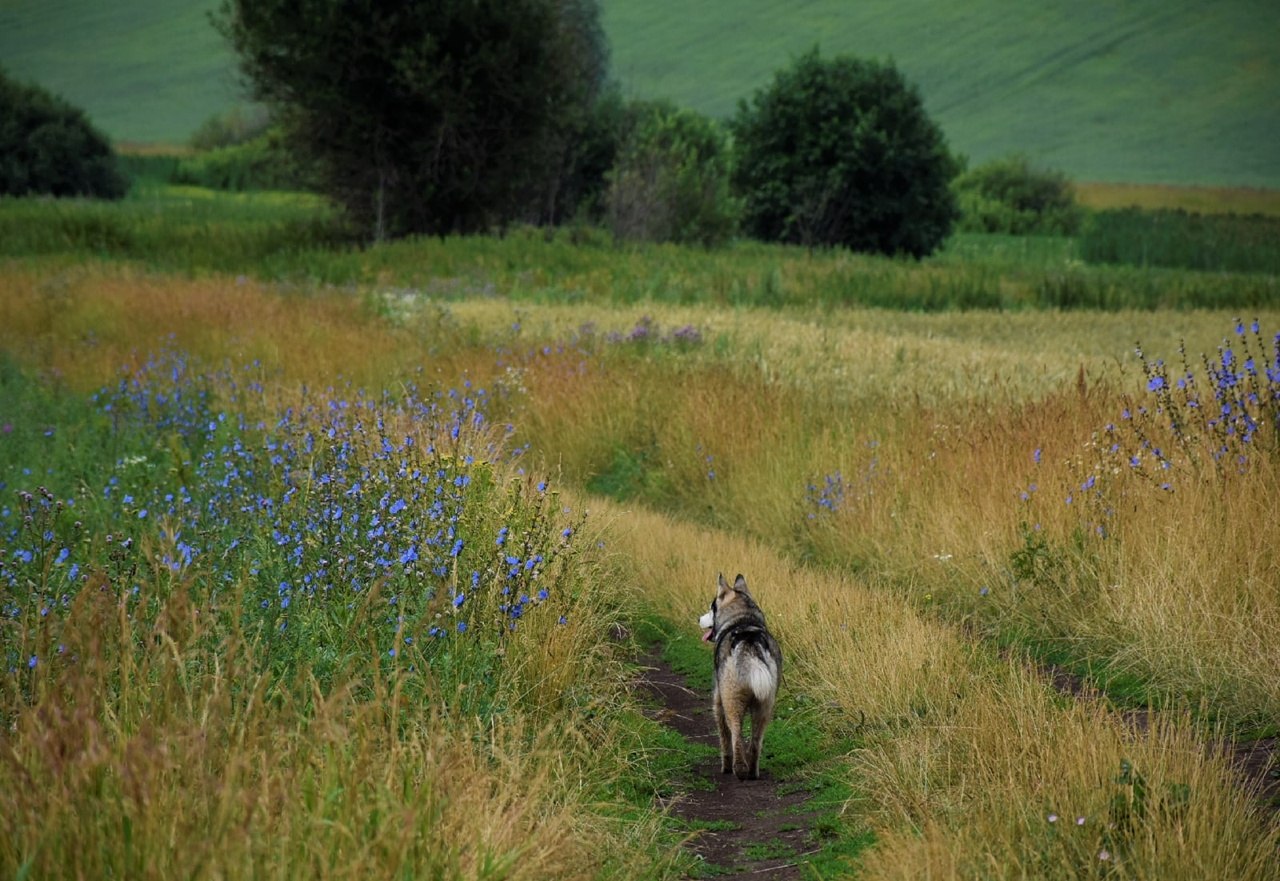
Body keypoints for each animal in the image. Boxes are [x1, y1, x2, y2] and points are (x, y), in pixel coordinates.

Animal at [701, 573, 778, 783]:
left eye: (711, 608)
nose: (698, 618)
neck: (742, 618)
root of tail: (749, 642)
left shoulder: (718, 700)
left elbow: (724, 738)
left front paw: (725, 766)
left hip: (731, 700)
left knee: (735, 733)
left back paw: (739, 769)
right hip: (765, 706)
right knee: (756, 742)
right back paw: (752, 772)